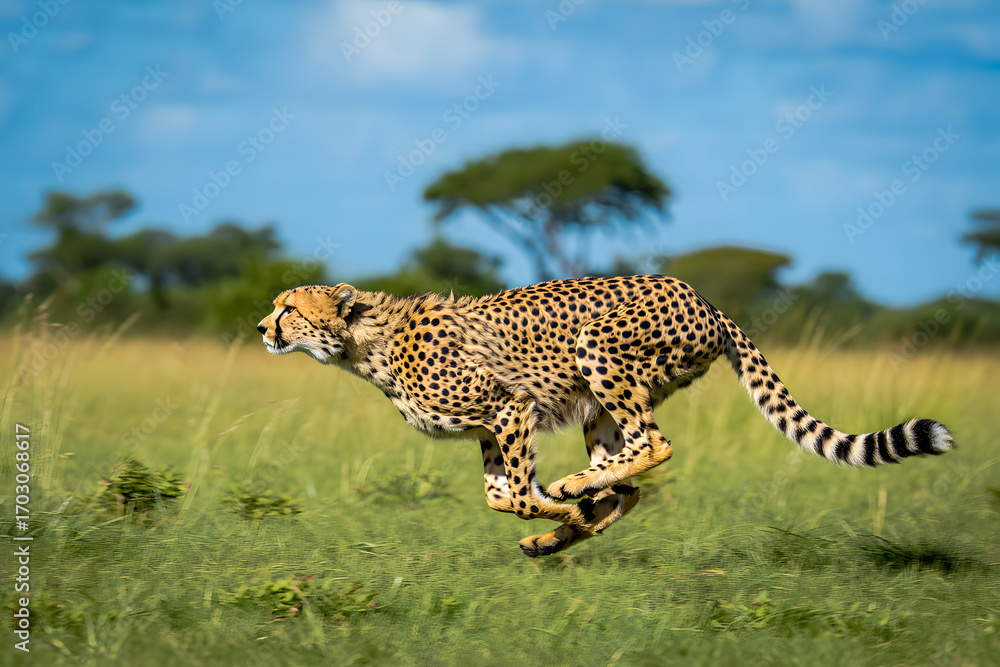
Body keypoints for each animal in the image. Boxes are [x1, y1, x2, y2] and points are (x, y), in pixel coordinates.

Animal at [256, 275, 955, 557]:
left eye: (290, 307)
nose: (263, 327)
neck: (365, 342)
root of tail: (701, 296)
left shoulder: (509, 408)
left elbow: (518, 496)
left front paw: (561, 509)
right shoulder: (490, 428)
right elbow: (501, 496)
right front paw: (560, 524)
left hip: (598, 353)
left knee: (655, 447)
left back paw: (574, 494)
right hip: (599, 405)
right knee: (632, 478)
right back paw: (568, 521)